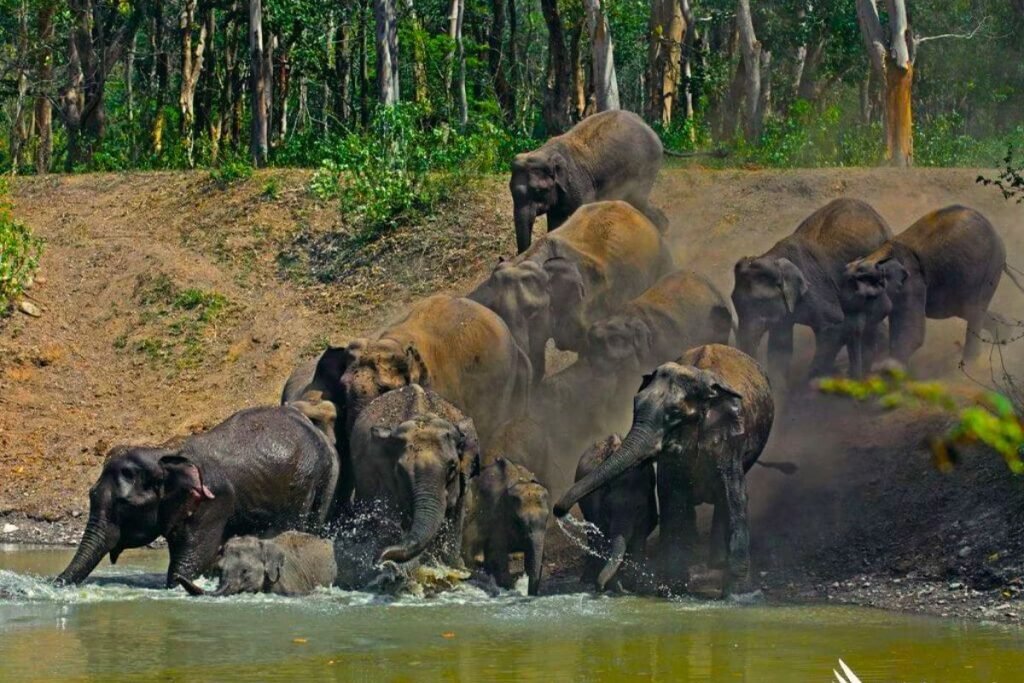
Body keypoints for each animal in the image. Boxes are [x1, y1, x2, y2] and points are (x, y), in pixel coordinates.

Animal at [57, 405, 339, 587]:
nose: (55, 582)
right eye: (91, 494)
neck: (163, 453)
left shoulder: (213, 502)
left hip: (315, 479)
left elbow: (191, 560)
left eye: (124, 505)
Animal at [510, 110, 670, 253]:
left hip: (646, 168)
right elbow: (555, 221)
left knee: (638, 201)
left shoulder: (580, 186)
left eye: (539, 191)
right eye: (511, 191)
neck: (545, 152)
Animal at [574, 434, 657, 592]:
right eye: (607, 509)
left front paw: (631, 585)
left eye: (639, 508)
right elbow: (602, 536)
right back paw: (587, 579)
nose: (599, 587)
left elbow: (640, 536)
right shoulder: (595, 502)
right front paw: (618, 586)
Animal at [732, 198, 892, 386]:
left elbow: (835, 329)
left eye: (761, 303)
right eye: (733, 301)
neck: (772, 257)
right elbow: (780, 345)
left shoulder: (816, 291)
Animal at [841, 205, 1022, 369]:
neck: (876, 256)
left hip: (990, 268)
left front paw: (887, 369)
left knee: (973, 311)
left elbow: (911, 335)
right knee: (964, 310)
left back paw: (971, 364)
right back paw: (1005, 335)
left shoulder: (912, 281)